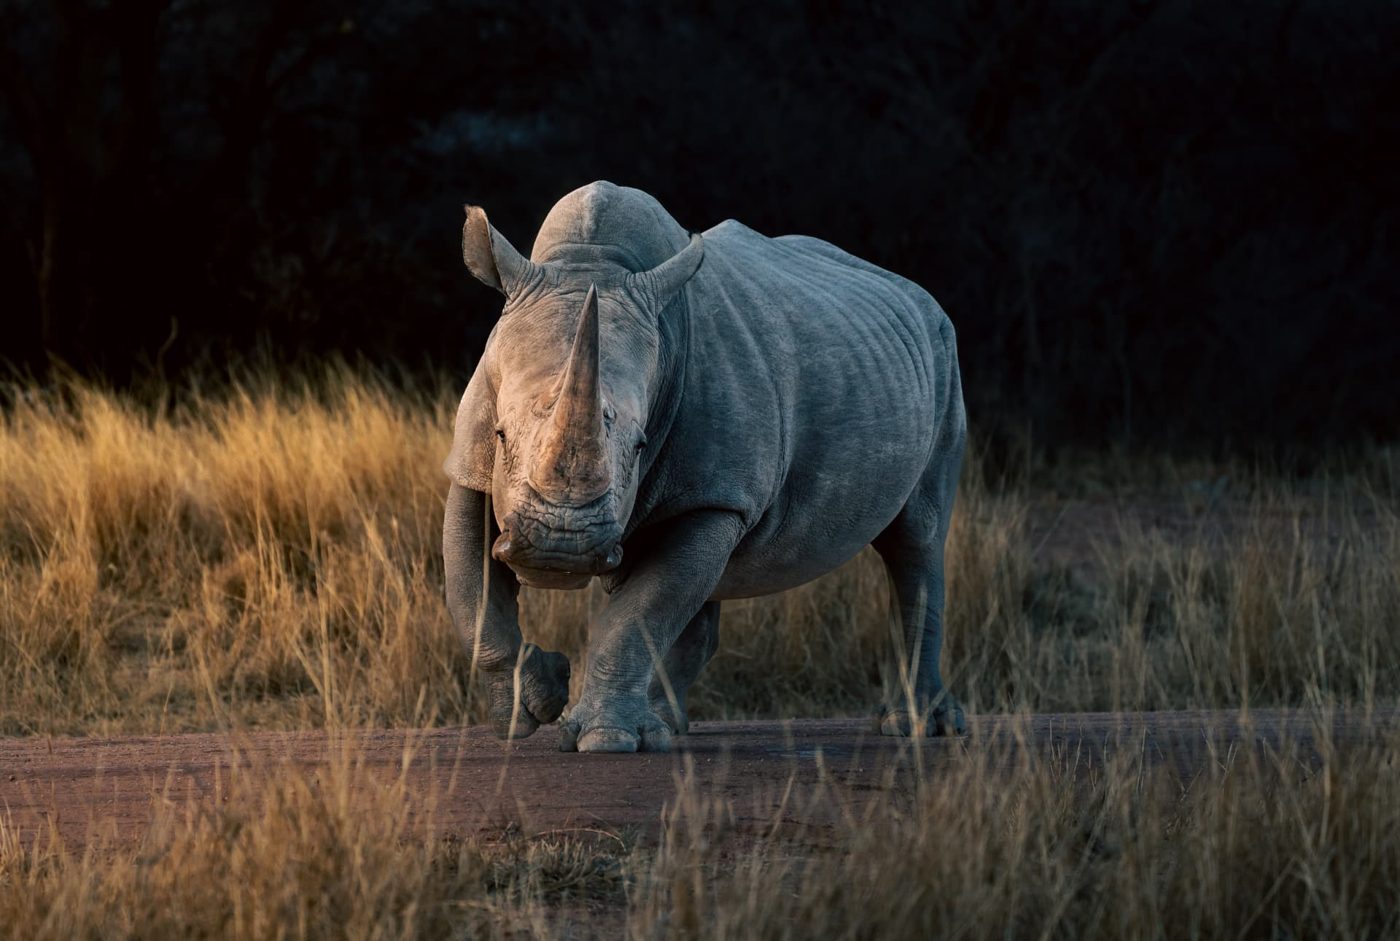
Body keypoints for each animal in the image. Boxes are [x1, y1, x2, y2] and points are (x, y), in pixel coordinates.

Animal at [443, 181, 966, 753]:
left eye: (641, 446)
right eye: (500, 435)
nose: (561, 549)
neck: (591, 263)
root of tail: (917, 296)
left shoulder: (719, 495)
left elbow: (640, 614)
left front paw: (605, 739)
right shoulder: (471, 465)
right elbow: (472, 599)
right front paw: (528, 709)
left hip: (943, 355)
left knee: (916, 539)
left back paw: (917, 727)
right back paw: (663, 725)